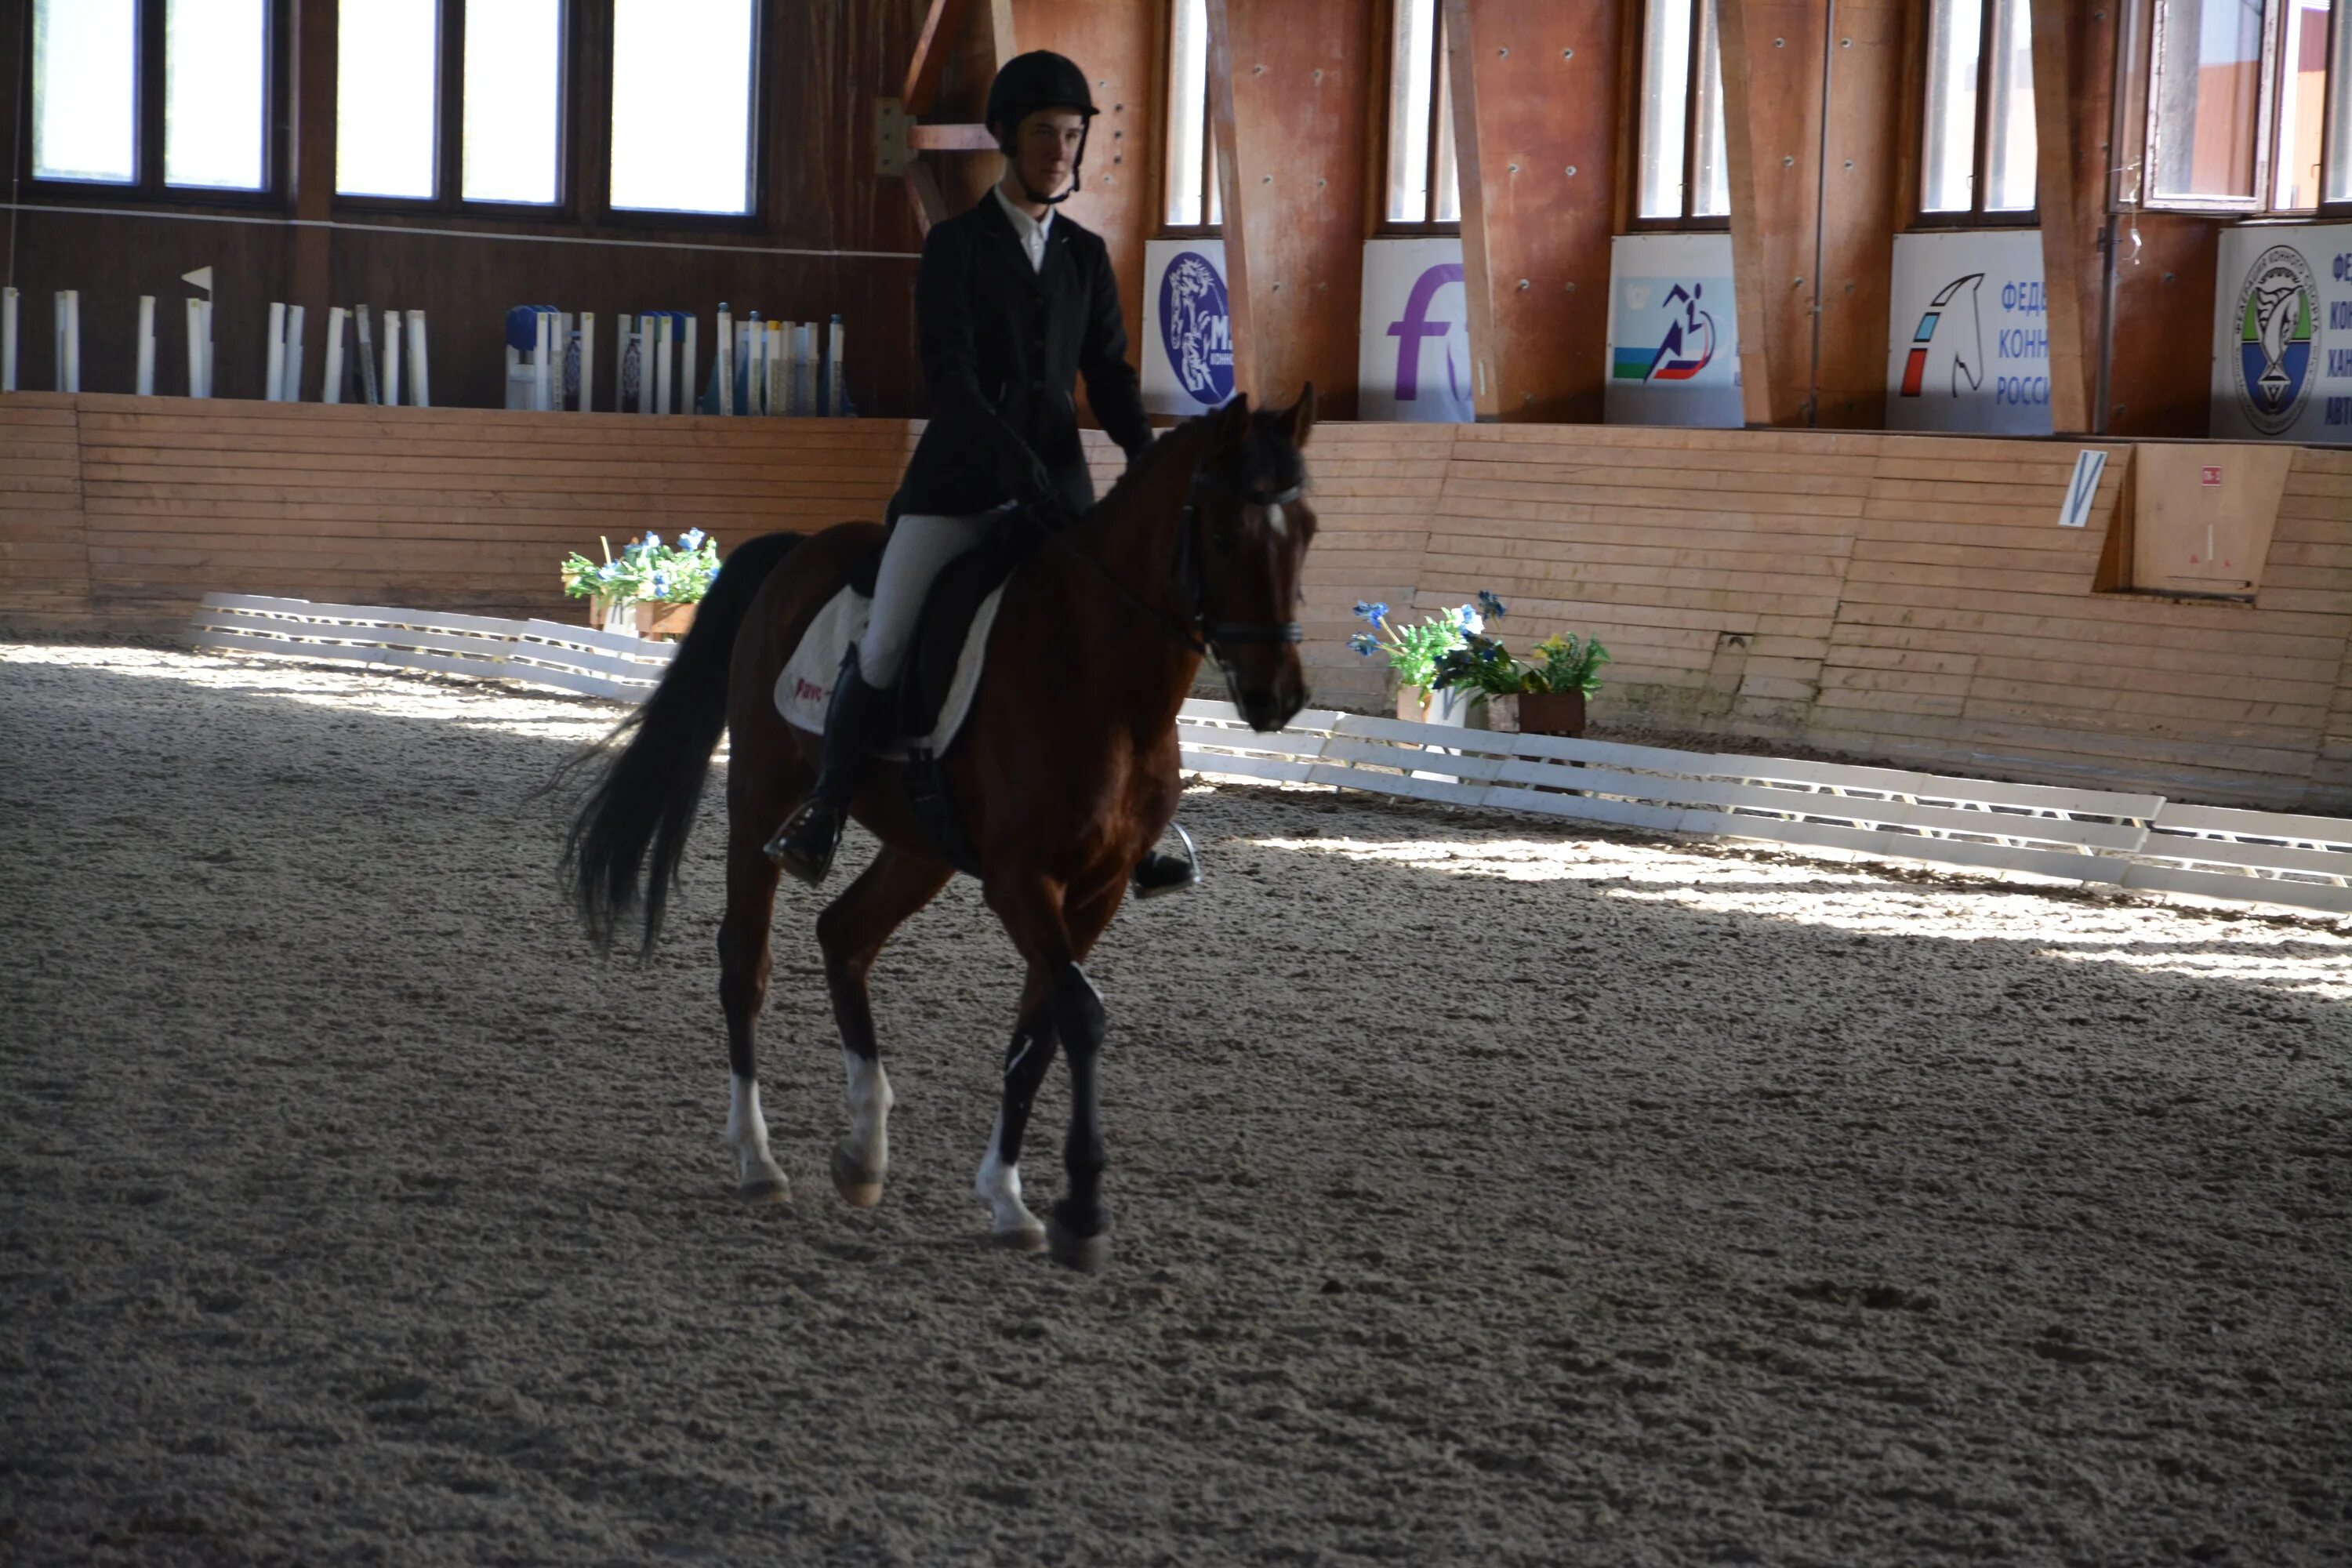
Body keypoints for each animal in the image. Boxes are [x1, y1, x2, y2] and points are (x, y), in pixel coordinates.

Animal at [560, 385, 1317, 1269]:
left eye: (1307, 532)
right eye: (1224, 534)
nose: (1277, 698)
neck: (1102, 679)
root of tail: (798, 550)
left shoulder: (1095, 890)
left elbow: (1041, 1032)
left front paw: (1010, 1199)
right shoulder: (1022, 881)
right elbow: (1081, 1016)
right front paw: (1082, 1210)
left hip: (921, 846)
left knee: (844, 934)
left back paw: (863, 1152)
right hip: (761, 791)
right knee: (746, 962)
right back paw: (758, 1160)